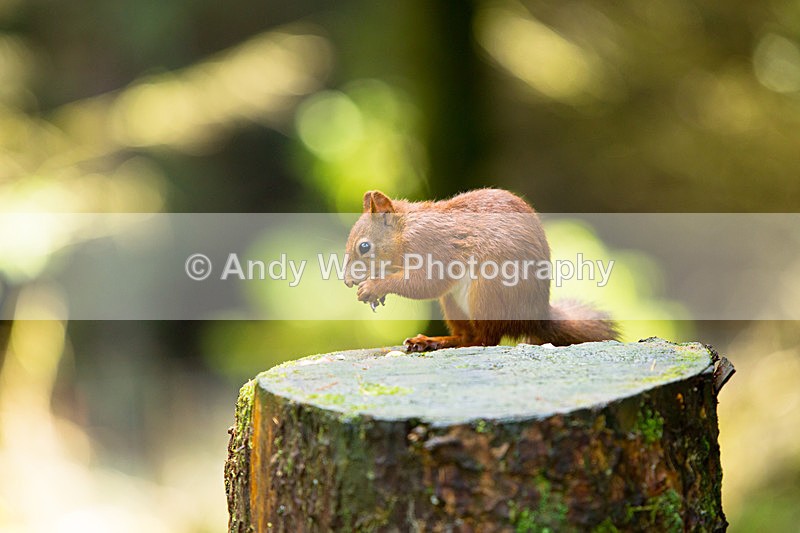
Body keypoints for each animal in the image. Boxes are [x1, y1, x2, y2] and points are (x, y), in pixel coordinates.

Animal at [344, 189, 618, 352]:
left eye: (364, 246)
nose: (346, 281)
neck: (405, 230)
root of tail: (536, 315)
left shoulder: (433, 247)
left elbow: (424, 283)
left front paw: (374, 287)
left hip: (488, 291)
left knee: (486, 340)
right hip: (453, 303)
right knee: (467, 335)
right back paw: (433, 341)